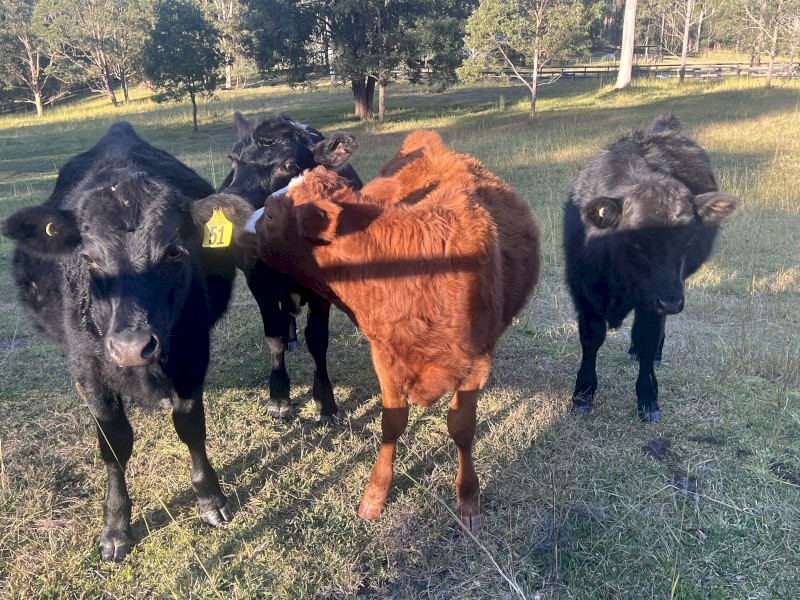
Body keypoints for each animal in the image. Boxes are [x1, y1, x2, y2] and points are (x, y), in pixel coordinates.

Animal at [0, 123, 252, 561]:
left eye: (174, 252)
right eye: (88, 259)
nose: (131, 347)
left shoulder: (193, 354)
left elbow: (191, 427)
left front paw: (210, 498)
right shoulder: (89, 371)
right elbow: (115, 444)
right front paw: (116, 527)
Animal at [220, 113, 362, 422]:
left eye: (288, 165)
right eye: (233, 159)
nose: (229, 203)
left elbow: (318, 339)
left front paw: (326, 403)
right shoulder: (259, 282)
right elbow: (274, 336)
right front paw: (279, 397)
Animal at [232, 130, 541, 532]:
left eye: (269, 214)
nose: (235, 227)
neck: (415, 274)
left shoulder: (478, 362)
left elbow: (462, 427)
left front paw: (469, 498)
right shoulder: (384, 355)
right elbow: (392, 423)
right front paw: (375, 494)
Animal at [563, 113, 740, 423]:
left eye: (688, 240)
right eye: (635, 240)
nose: (671, 302)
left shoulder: (653, 301)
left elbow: (646, 338)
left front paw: (648, 398)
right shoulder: (583, 290)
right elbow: (591, 338)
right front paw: (583, 393)